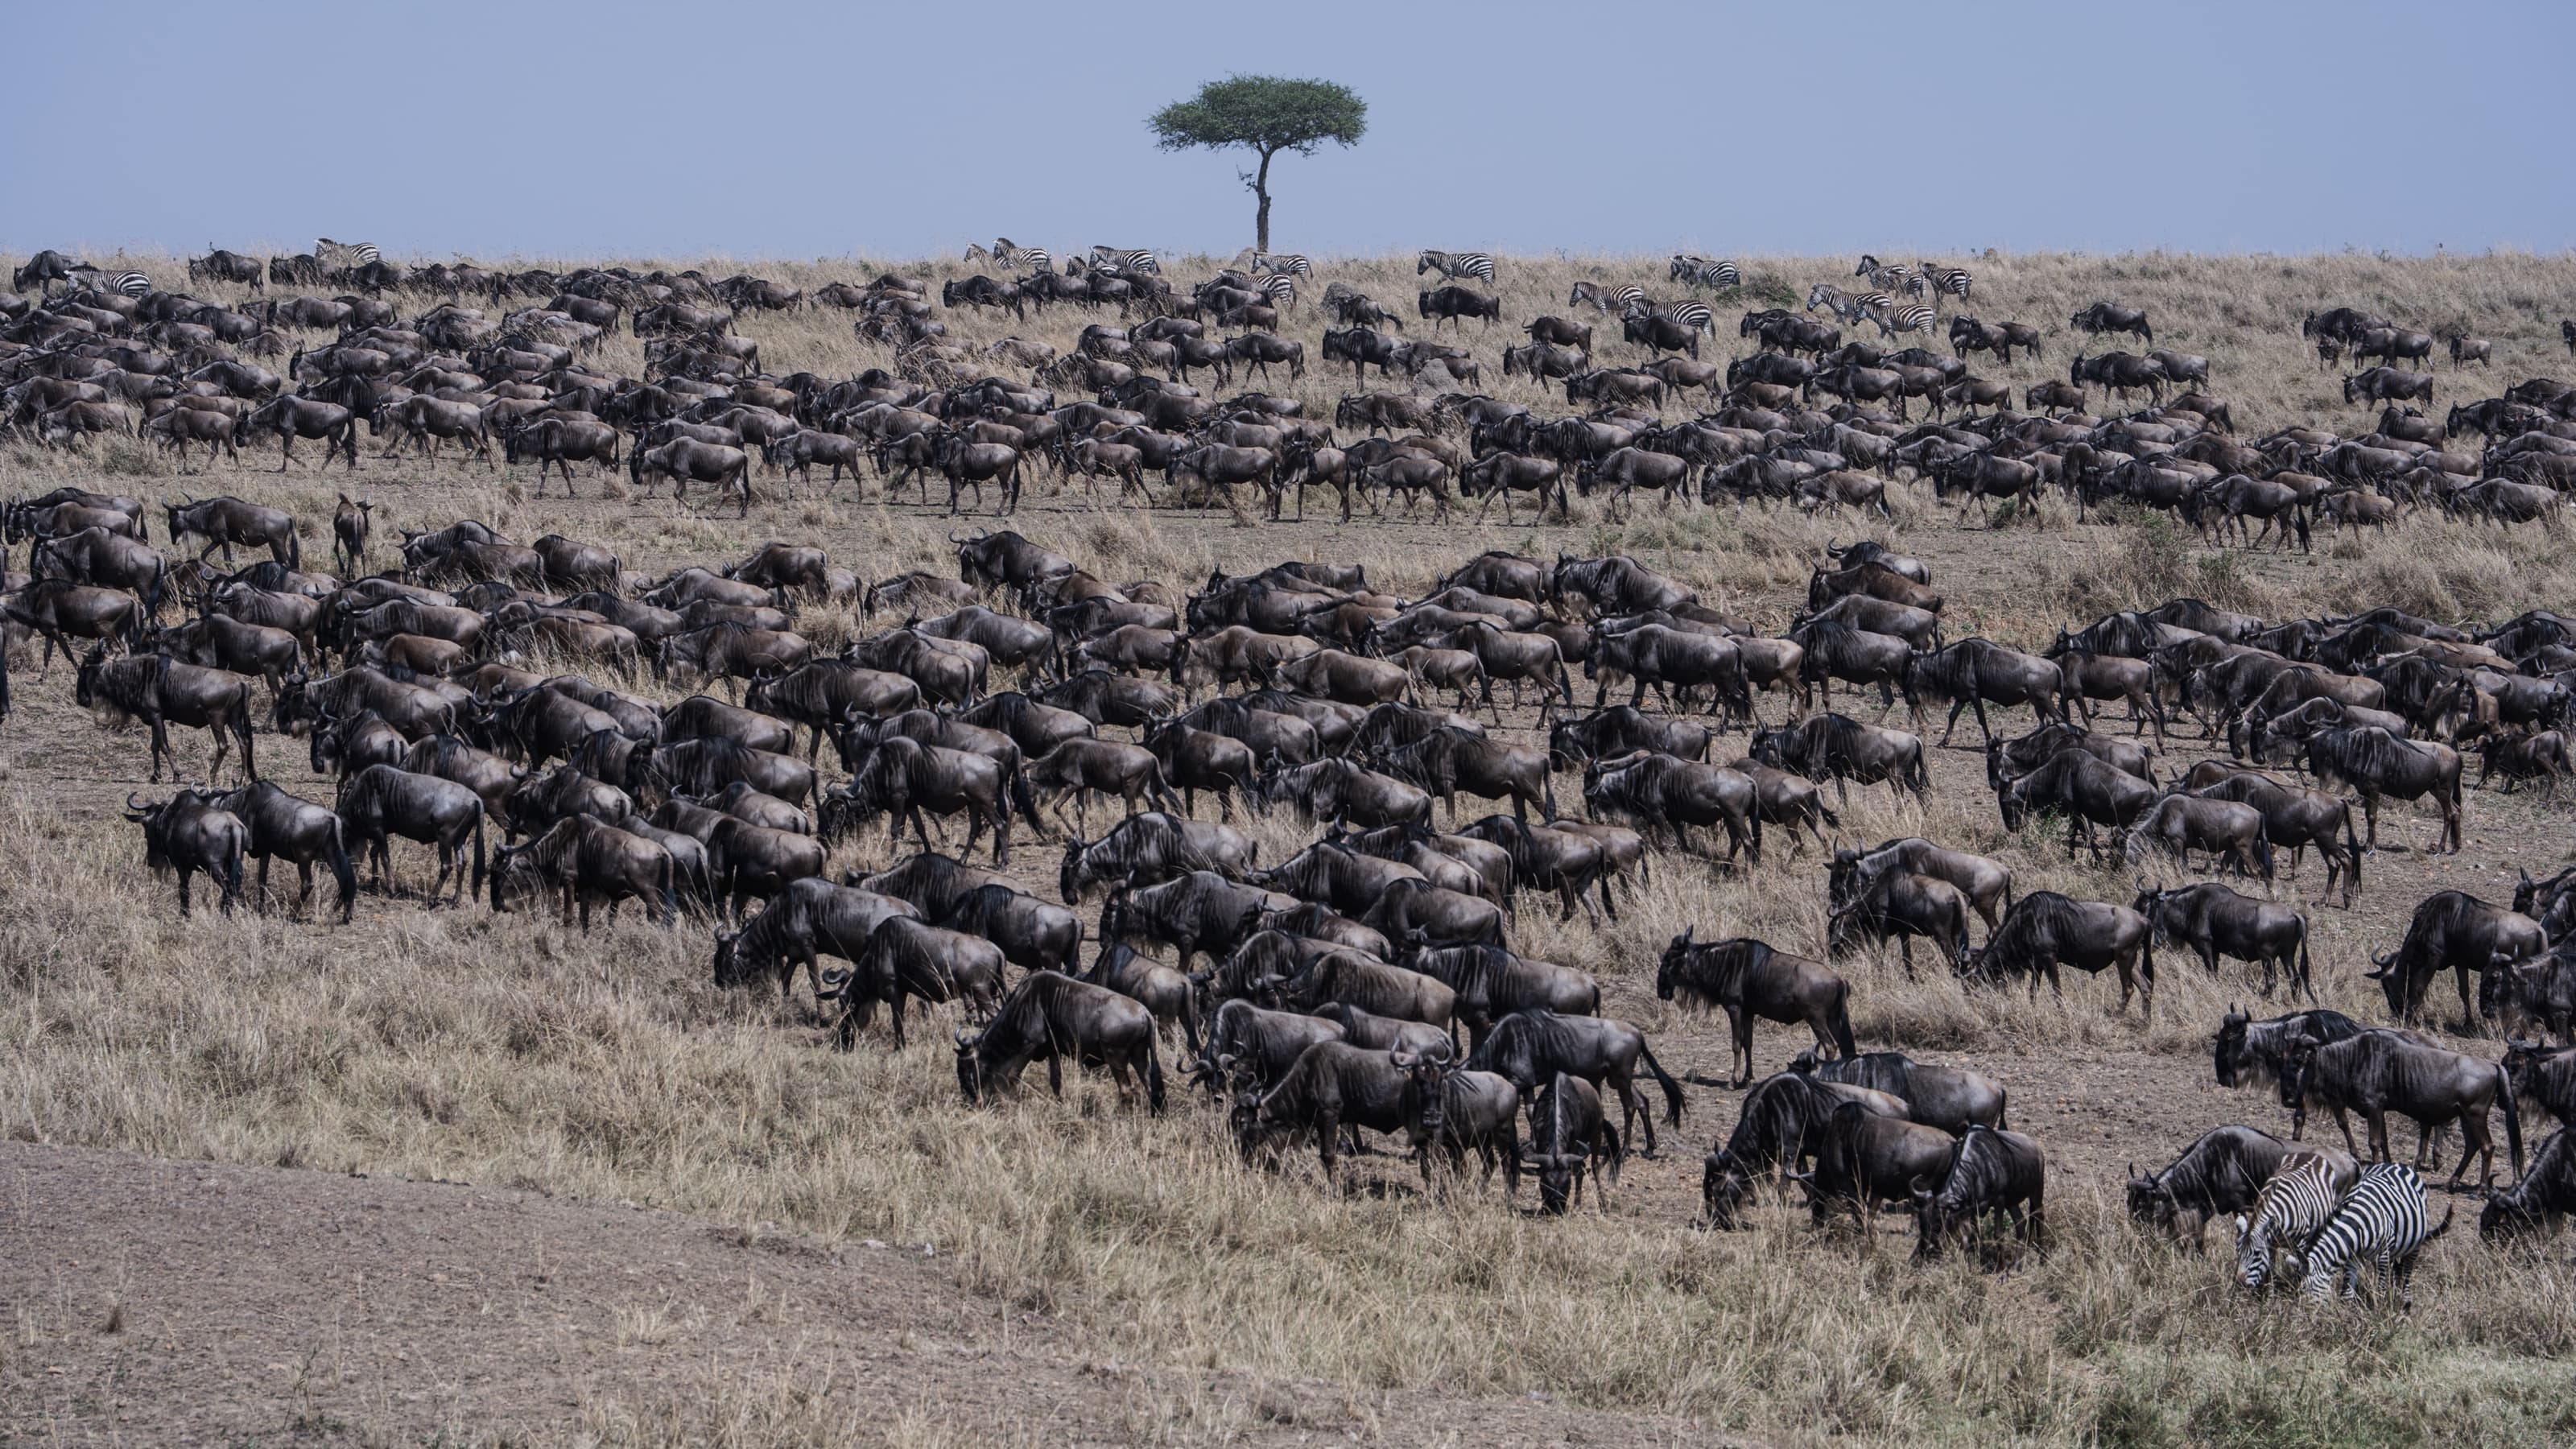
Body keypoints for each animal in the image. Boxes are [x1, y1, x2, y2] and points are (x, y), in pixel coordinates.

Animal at [2233, 1155, 2339, 1293]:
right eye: (2238, 1252)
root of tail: (2312, 1154)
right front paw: (2269, 1294)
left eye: (2257, 1254)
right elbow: (2270, 1271)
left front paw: (2296, 1289)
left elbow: (2300, 1268)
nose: (2240, 1285)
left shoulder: (2300, 1244)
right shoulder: (2270, 1244)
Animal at [2298, 1162, 2450, 1309]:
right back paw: (2395, 1294)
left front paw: (2380, 1310)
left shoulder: (2383, 1255)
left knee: (2407, 1271)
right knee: (2397, 1271)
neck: (2359, 1226)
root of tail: (2397, 1164)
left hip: (2414, 1244)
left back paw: (2405, 1303)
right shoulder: (2352, 1257)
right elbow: (2347, 1291)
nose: (2308, 1314)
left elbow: (2380, 1288)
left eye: (2304, 1288)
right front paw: (2347, 1313)